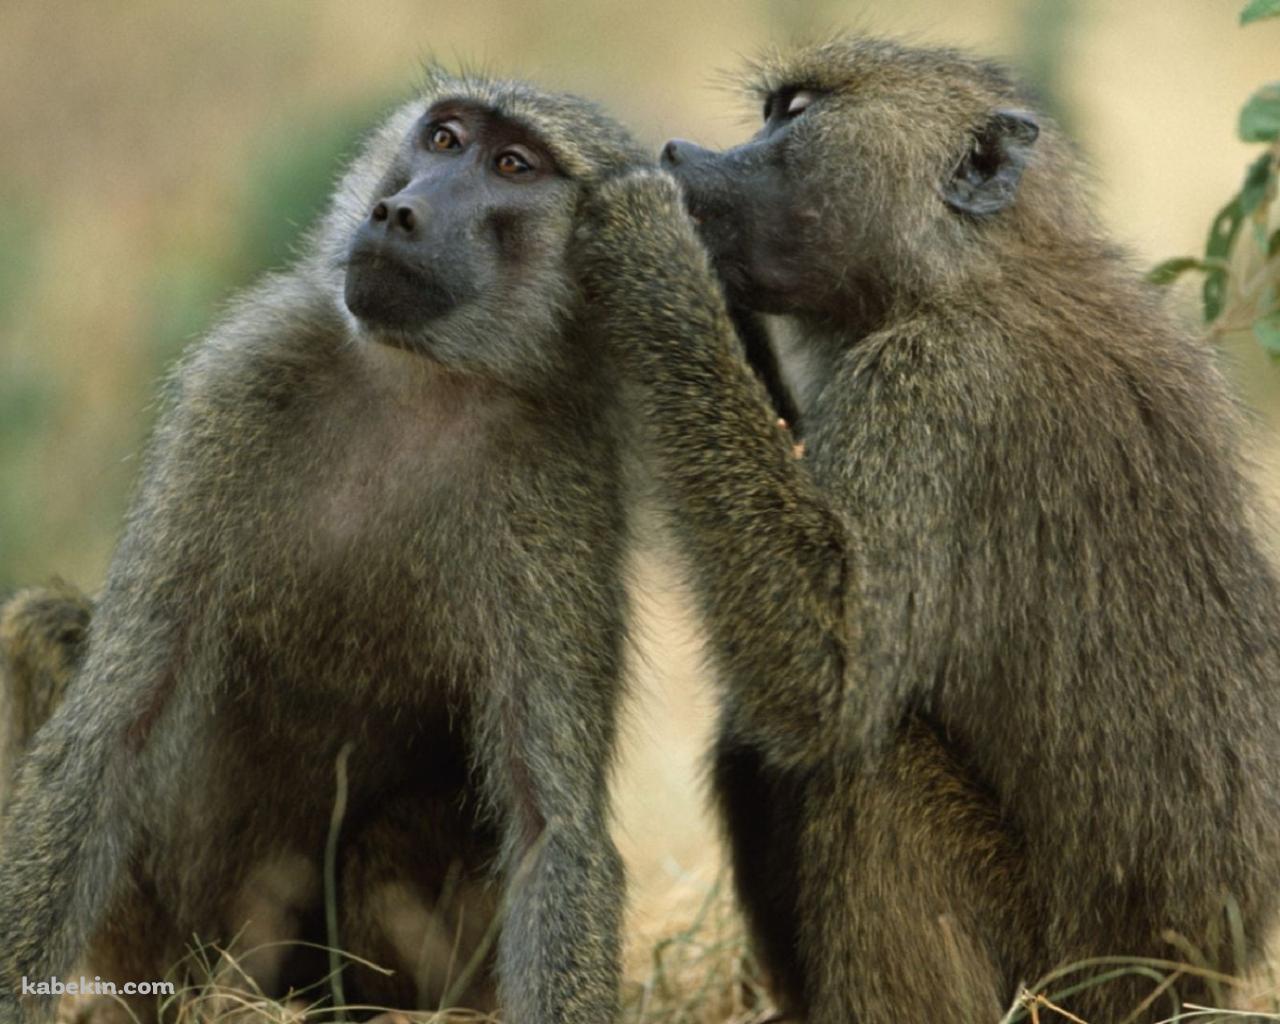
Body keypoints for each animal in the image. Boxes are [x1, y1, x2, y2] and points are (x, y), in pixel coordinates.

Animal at [0, 71, 652, 1024]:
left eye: (513, 165)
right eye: (445, 139)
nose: (399, 211)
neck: (420, 383)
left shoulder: (563, 489)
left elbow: (550, 831)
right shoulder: (237, 383)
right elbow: (106, 731)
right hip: (163, 944)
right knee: (43, 629)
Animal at [574, 35, 1280, 1024]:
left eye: (795, 114)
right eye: (769, 112)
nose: (680, 152)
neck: (964, 271)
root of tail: (1189, 986)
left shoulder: (935, 392)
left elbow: (827, 680)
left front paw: (654, 247)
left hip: (1054, 978)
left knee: (870, 768)